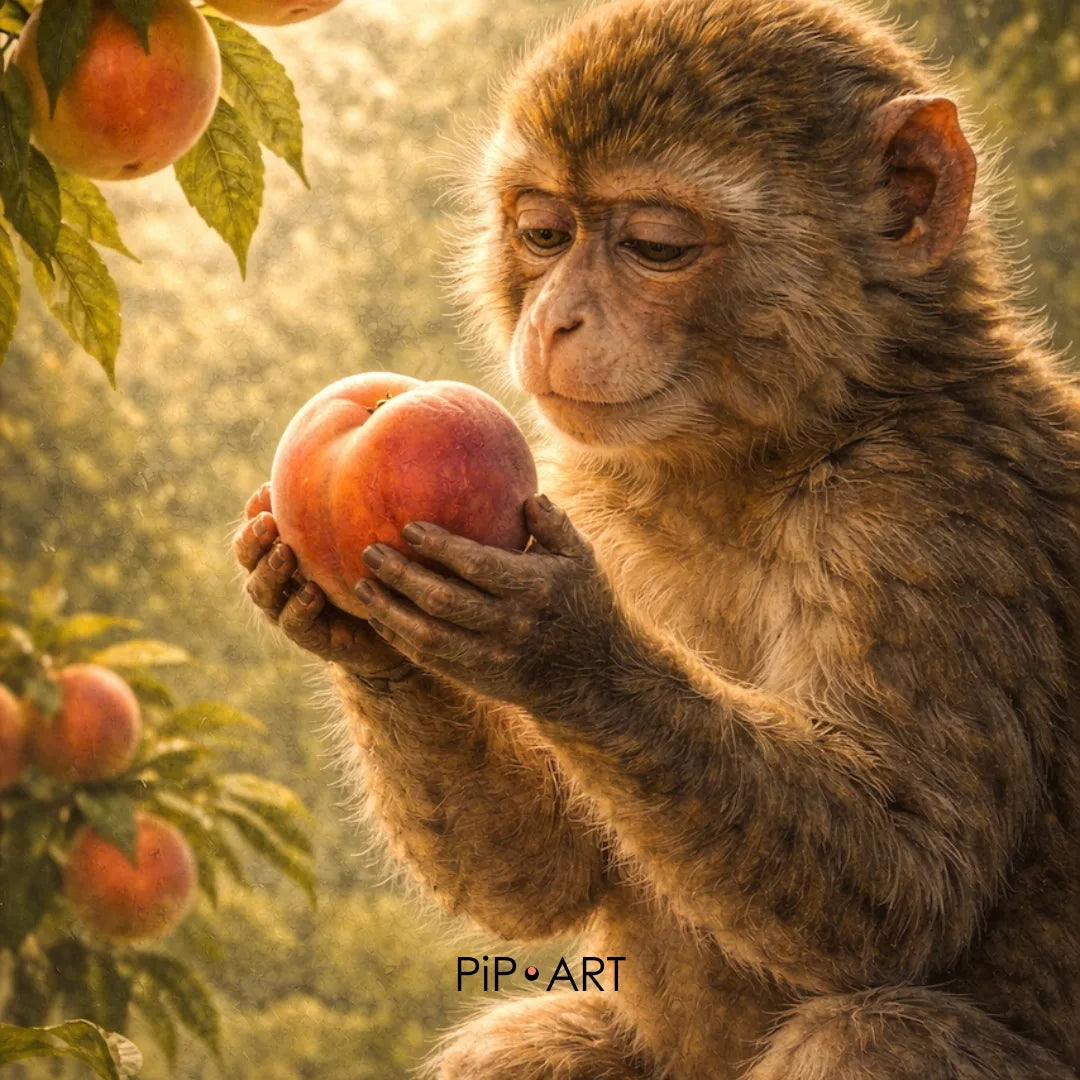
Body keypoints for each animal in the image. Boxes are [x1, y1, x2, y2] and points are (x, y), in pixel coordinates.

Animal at [233, 0, 1080, 1076]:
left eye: (656, 245)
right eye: (544, 233)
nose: (558, 320)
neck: (762, 454)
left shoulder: (934, 507)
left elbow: (912, 875)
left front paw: (558, 644)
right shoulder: (586, 488)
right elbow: (545, 868)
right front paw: (364, 643)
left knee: (878, 1033)